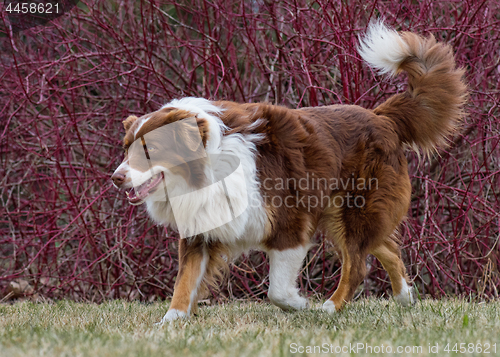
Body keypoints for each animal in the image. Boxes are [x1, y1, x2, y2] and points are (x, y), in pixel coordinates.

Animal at [111, 22, 466, 322]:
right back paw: (405, 297)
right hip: (343, 212)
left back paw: (330, 307)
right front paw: (170, 322)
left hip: (353, 208)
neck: (206, 168)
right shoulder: (203, 227)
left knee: (357, 264)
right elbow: (184, 282)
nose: (115, 178)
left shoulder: (289, 224)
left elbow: (276, 290)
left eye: (150, 150)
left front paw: (298, 304)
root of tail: (382, 117)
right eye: (126, 148)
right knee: (385, 247)